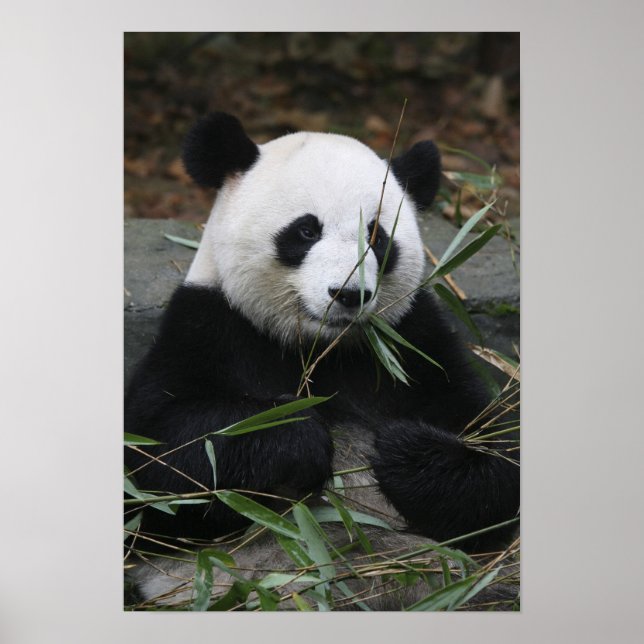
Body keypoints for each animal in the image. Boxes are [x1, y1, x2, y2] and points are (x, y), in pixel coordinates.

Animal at [124, 112, 519, 608]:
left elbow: (497, 454)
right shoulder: (207, 328)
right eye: (306, 231)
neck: (319, 348)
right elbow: (157, 465)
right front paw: (297, 435)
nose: (348, 294)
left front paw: (402, 450)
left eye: (376, 236)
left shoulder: (415, 344)